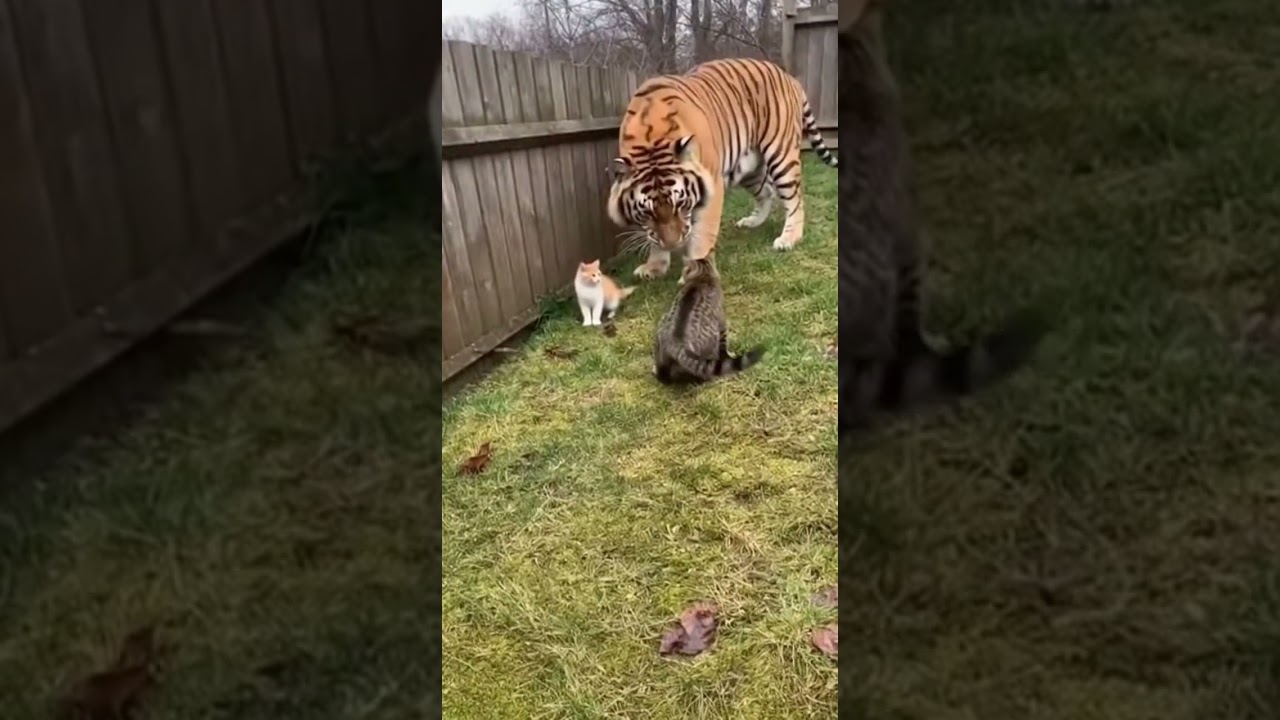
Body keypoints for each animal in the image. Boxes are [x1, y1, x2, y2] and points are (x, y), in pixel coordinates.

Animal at [606, 57, 839, 282]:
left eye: (680, 203)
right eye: (647, 212)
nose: (673, 244)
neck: (650, 140)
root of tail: (789, 77)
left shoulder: (712, 189)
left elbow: (702, 237)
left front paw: (694, 273)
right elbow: (653, 237)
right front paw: (654, 267)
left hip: (781, 155)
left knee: (795, 199)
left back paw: (789, 238)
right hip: (748, 167)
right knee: (767, 192)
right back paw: (752, 222)